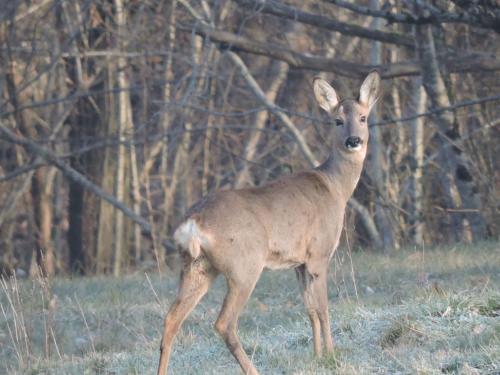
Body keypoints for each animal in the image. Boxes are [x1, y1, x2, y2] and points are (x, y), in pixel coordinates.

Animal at [158, 71, 380, 375]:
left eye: (363, 117)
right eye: (337, 120)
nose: (354, 140)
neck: (336, 188)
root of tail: (193, 223)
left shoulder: (299, 262)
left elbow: (310, 309)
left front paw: (316, 356)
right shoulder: (319, 253)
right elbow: (324, 308)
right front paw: (331, 356)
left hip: (196, 267)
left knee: (171, 319)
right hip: (243, 266)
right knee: (224, 322)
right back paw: (253, 370)